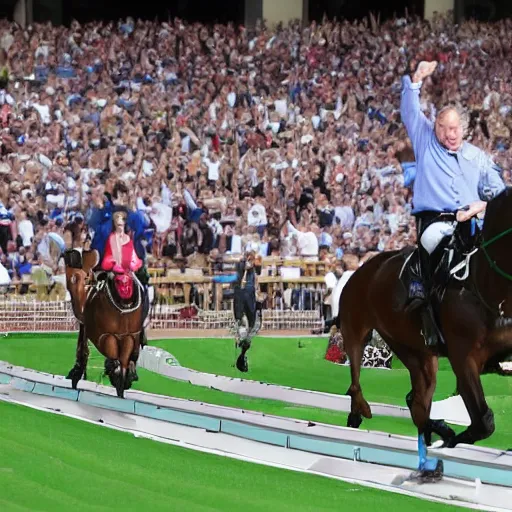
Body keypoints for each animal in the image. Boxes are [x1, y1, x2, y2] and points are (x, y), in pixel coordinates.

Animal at [340, 187, 512, 480]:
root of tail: (366, 266)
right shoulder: (463, 357)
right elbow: (483, 421)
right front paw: (450, 439)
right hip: (357, 327)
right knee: (356, 381)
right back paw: (360, 411)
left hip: (416, 352)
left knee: (417, 401)